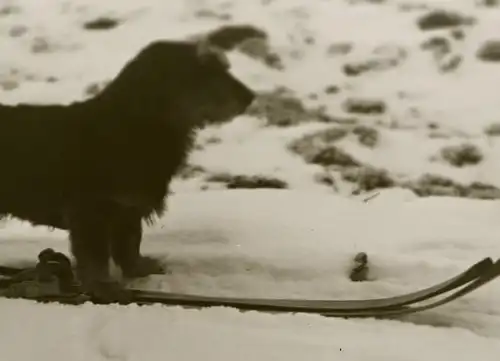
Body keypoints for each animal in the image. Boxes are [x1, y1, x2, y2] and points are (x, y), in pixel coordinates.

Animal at [0, 38, 256, 298]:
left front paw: (138, 268)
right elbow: (95, 255)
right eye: (204, 71)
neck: (133, 126)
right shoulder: (91, 211)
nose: (250, 97)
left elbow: (130, 242)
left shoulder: (128, 208)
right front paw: (102, 286)